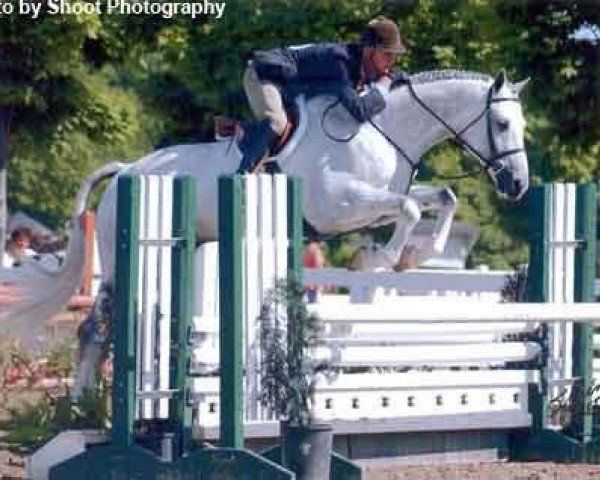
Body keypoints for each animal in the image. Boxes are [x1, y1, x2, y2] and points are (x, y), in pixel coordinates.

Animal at [0, 68, 528, 382]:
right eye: (502, 125)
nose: (518, 185)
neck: (381, 128)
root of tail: (128, 169)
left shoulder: (375, 201)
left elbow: (440, 198)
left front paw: (405, 255)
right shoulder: (338, 205)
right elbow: (412, 212)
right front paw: (386, 258)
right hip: (117, 261)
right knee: (93, 329)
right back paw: (81, 406)